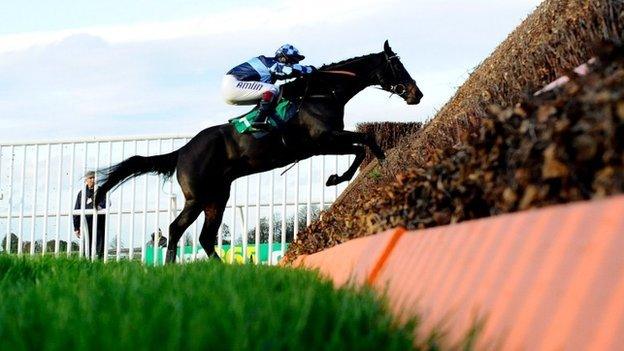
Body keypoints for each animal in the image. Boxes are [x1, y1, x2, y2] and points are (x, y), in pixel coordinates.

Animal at [94, 41, 424, 264]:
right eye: (397, 66)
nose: (416, 94)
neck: (321, 94)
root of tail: (183, 151)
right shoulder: (323, 140)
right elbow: (365, 140)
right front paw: (370, 166)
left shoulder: (324, 144)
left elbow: (359, 148)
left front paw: (346, 175)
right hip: (198, 197)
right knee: (176, 230)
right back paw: (171, 267)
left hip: (217, 197)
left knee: (205, 237)